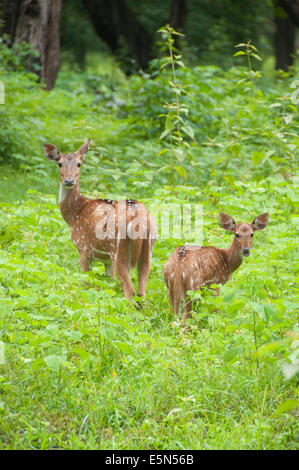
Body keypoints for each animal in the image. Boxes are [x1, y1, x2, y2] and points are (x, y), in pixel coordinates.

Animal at [44, 139, 158, 298]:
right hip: (148, 247)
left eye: (79, 164)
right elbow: (110, 282)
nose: (69, 181)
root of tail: (139, 214)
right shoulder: (107, 259)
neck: (74, 214)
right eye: (59, 163)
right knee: (142, 289)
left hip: (119, 249)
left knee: (130, 290)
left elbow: (85, 281)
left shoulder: (83, 248)